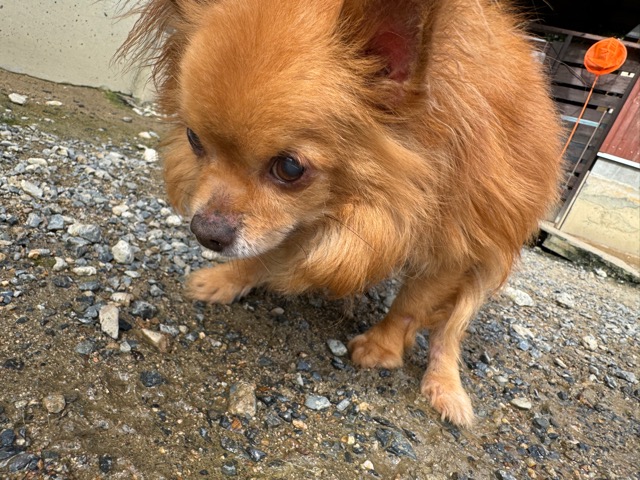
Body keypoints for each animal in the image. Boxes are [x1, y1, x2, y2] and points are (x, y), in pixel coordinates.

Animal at [121, 0, 562, 426]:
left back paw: (445, 386)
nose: (205, 232)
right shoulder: (297, 220)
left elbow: (411, 306)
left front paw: (382, 347)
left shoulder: (453, 247)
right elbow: (267, 252)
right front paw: (226, 279)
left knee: (449, 331)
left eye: (290, 168)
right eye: (194, 140)